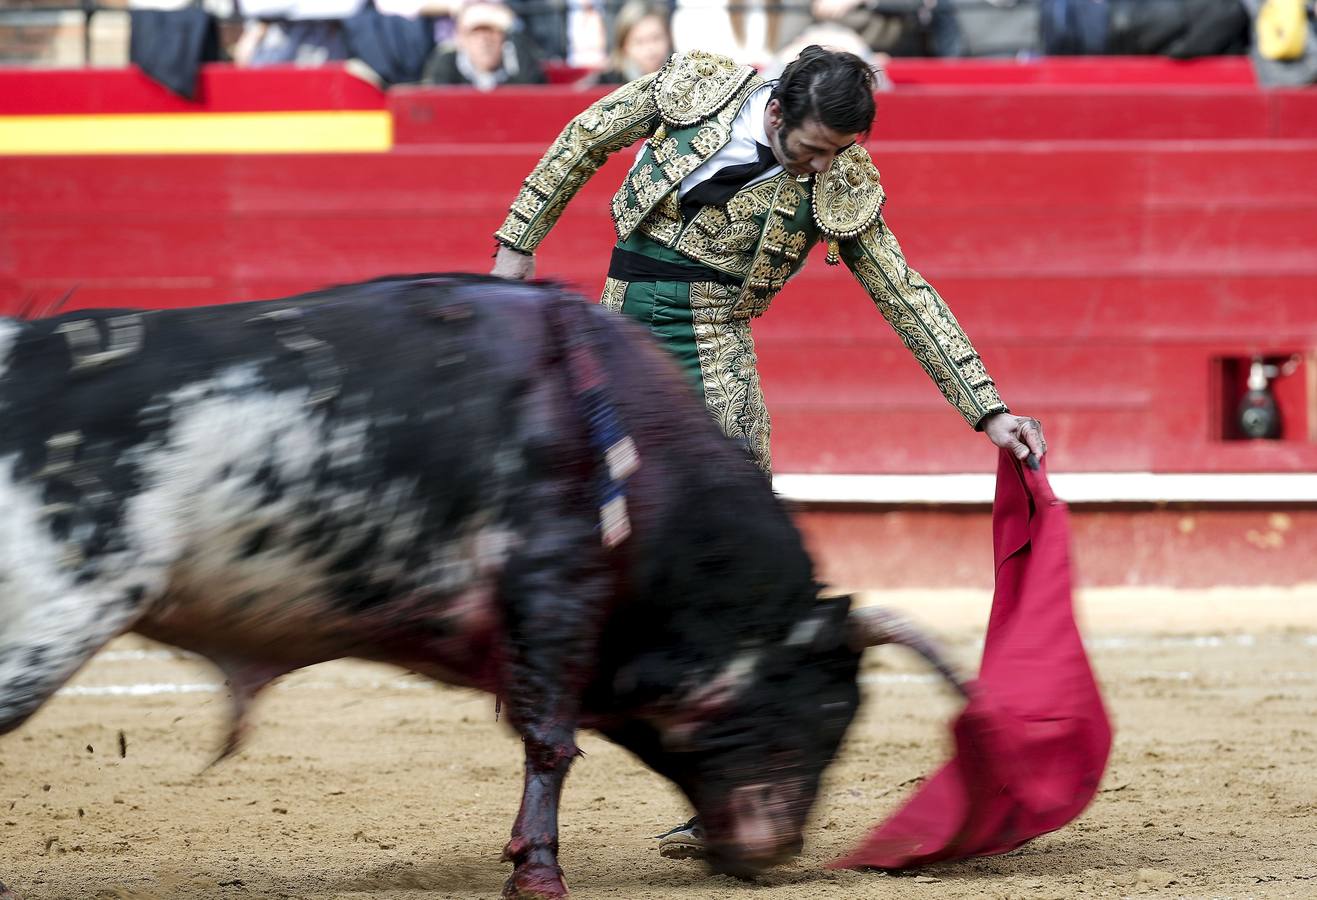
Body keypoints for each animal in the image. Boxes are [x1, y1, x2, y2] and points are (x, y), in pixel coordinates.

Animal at [0, 276, 953, 900]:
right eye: (827, 708)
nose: (778, 852)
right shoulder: (554, 588)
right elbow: (551, 741)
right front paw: (538, 873)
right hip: (51, 621)